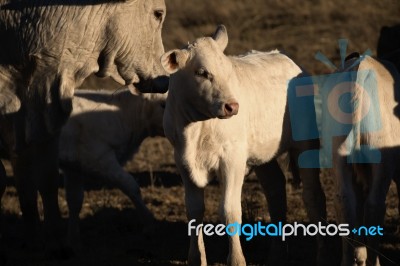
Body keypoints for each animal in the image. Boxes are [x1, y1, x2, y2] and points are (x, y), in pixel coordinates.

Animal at [58, 88, 165, 247]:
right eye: (163, 104)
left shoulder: (73, 166)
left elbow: (74, 200)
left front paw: (72, 241)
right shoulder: (98, 158)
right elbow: (131, 185)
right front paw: (149, 225)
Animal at [159, 25, 324, 266]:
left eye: (228, 71)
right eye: (201, 72)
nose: (232, 106)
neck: (196, 128)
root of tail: (288, 60)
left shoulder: (232, 159)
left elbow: (229, 211)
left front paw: (236, 259)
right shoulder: (183, 162)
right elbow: (194, 211)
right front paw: (196, 258)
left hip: (306, 145)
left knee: (313, 196)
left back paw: (324, 254)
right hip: (262, 155)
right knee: (276, 190)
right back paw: (276, 255)